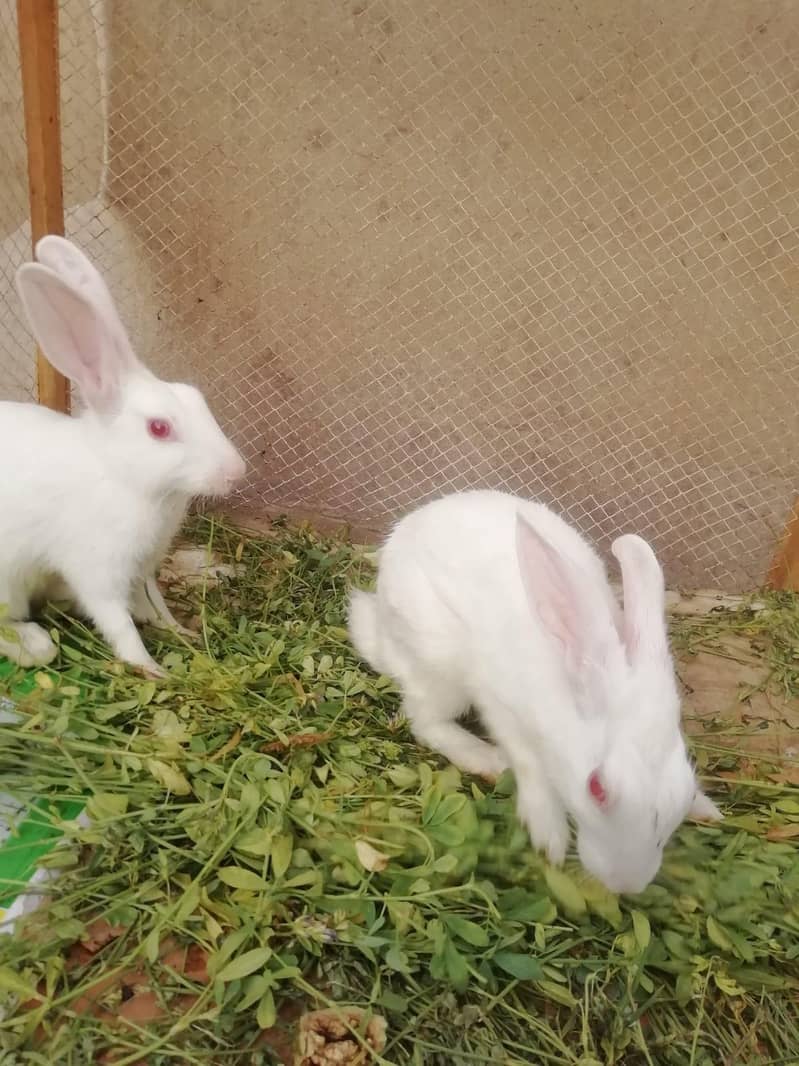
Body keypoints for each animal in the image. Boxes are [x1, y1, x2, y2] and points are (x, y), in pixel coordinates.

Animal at [0, 235, 246, 676]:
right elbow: (118, 622)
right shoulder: (98, 570)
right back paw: (34, 643)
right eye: (159, 428)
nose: (237, 472)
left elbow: (153, 602)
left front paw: (180, 630)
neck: (121, 476)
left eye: (195, 397)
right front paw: (152, 668)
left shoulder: (142, 569)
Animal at [349, 489, 722, 894]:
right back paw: (487, 759)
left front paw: (707, 809)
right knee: (425, 722)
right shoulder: (502, 707)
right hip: (437, 669)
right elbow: (530, 766)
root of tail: (381, 633)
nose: (627, 886)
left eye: (685, 791)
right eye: (596, 788)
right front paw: (549, 839)